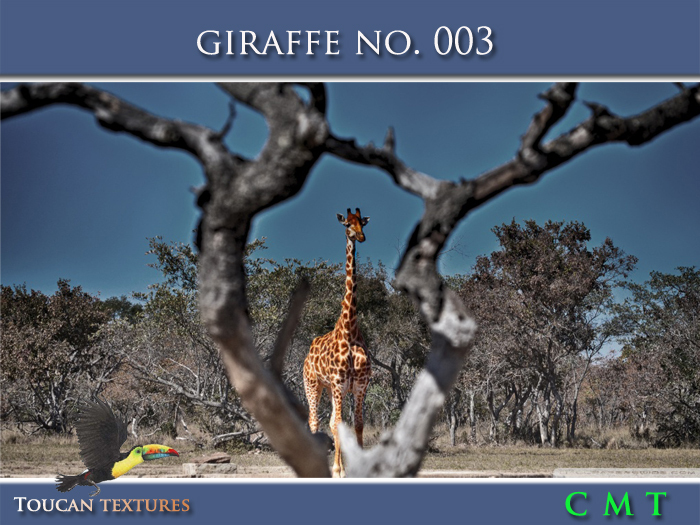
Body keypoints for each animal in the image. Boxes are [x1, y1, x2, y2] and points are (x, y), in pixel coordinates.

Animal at [303, 208, 372, 478]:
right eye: (346, 224)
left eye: (362, 223)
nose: (360, 237)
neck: (350, 331)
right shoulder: (339, 383)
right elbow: (339, 424)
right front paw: (338, 470)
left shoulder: (360, 385)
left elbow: (358, 424)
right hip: (313, 384)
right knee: (314, 421)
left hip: (331, 389)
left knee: (331, 422)